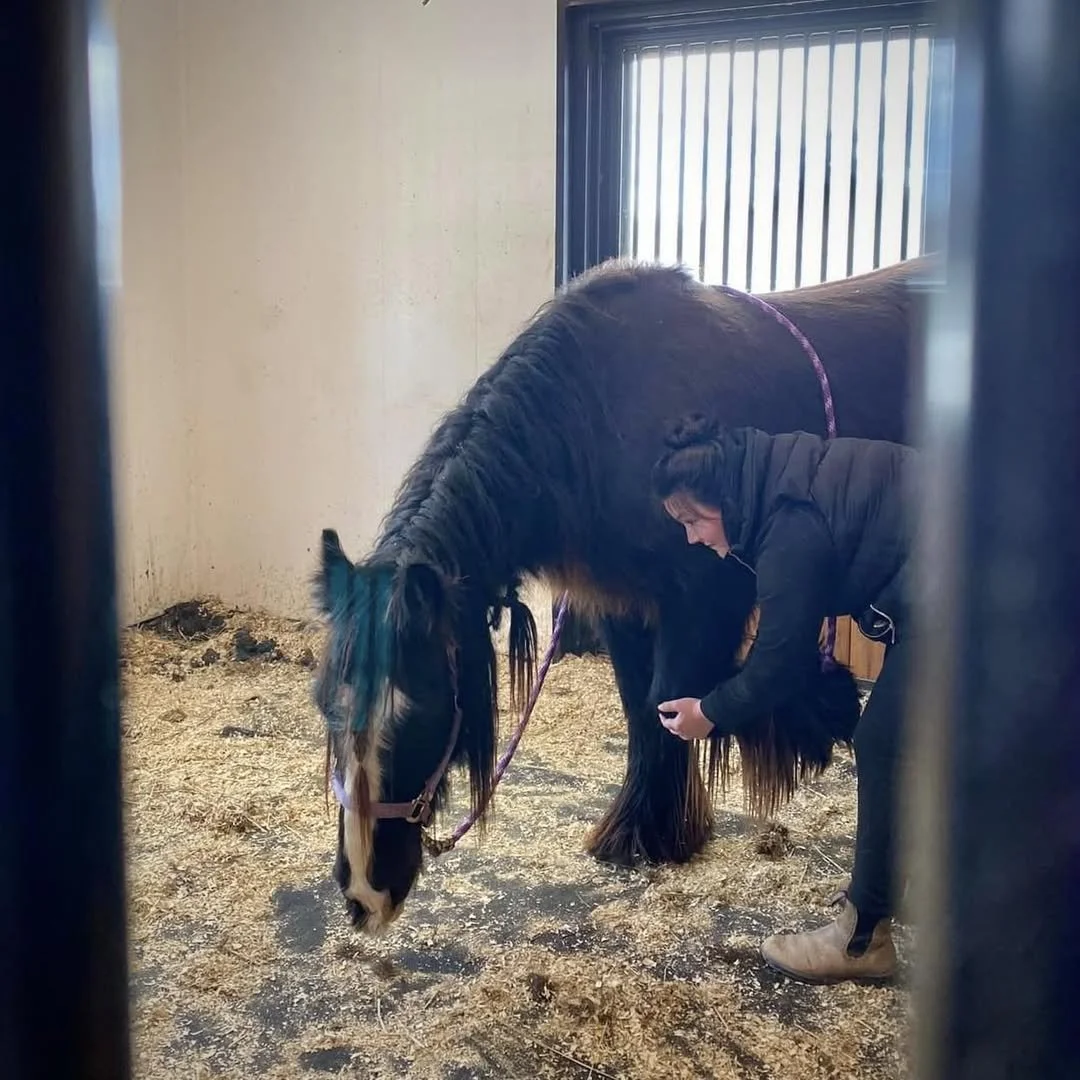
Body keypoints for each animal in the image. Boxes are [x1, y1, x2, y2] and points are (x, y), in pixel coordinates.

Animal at [312, 253, 930, 930]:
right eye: (326, 708)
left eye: (416, 712)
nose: (363, 892)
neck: (604, 417)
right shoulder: (627, 606)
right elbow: (642, 706)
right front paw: (642, 831)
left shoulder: (706, 598)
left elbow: (676, 699)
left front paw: (664, 830)